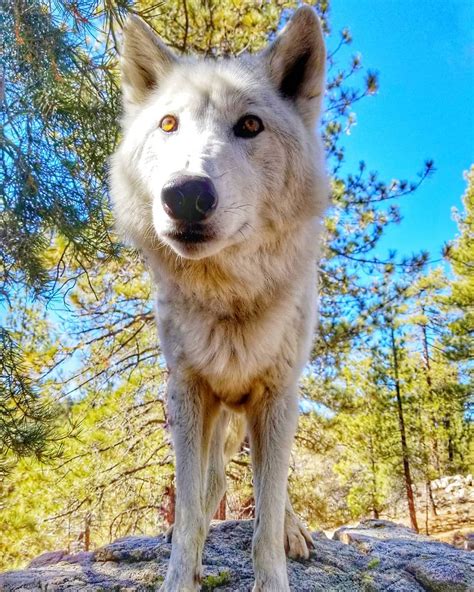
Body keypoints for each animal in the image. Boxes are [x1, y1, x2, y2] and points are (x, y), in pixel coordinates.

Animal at [109, 5, 328, 592]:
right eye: (168, 124)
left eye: (250, 125)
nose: (185, 194)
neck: (230, 300)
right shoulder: (186, 395)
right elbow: (188, 512)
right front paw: (181, 572)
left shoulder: (276, 398)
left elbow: (266, 515)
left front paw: (274, 566)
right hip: (218, 422)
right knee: (211, 485)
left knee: (269, 491)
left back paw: (295, 530)